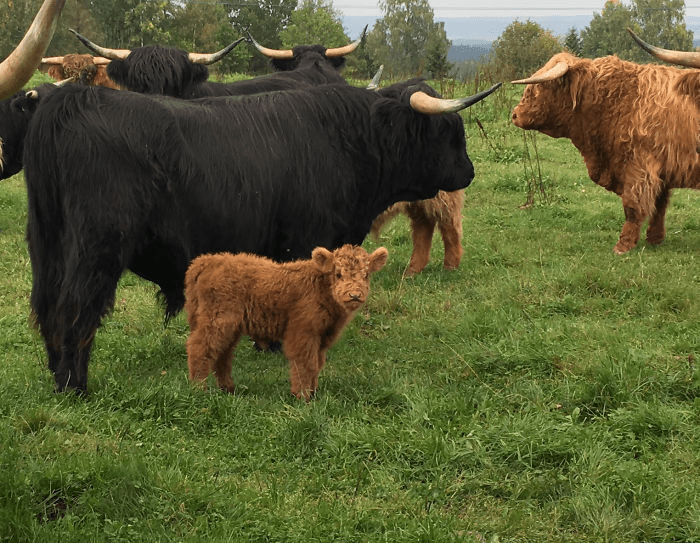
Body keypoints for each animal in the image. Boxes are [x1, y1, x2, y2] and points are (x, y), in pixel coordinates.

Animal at [183, 244, 388, 402]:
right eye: (338, 274)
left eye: (366, 275)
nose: (354, 295)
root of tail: (207, 260)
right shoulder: (302, 332)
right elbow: (305, 364)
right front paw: (303, 397)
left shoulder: (322, 338)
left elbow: (317, 363)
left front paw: (314, 392)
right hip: (217, 321)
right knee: (200, 348)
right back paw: (198, 389)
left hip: (230, 327)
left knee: (222, 354)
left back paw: (228, 389)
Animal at [512, 51, 700, 255]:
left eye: (540, 85)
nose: (515, 114)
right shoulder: (660, 172)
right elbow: (659, 207)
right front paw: (654, 239)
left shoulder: (639, 167)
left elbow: (633, 207)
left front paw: (623, 245)